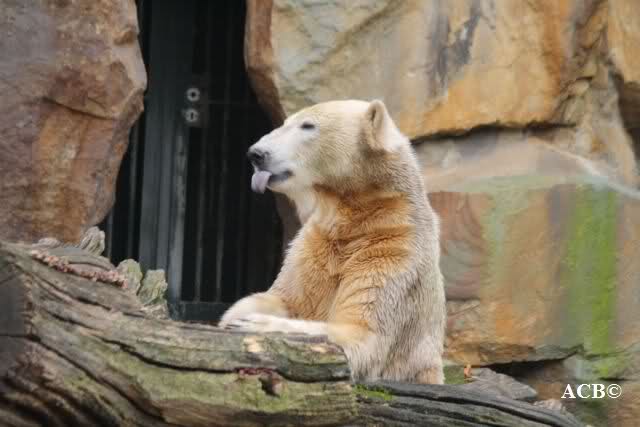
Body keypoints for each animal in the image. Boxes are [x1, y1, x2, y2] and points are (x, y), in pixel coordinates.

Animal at [219, 99, 446, 384]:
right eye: (285, 122)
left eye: (307, 125)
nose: (256, 154)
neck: (357, 218)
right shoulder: (317, 242)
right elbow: (284, 297)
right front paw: (235, 317)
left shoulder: (395, 251)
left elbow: (360, 334)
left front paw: (254, 324)